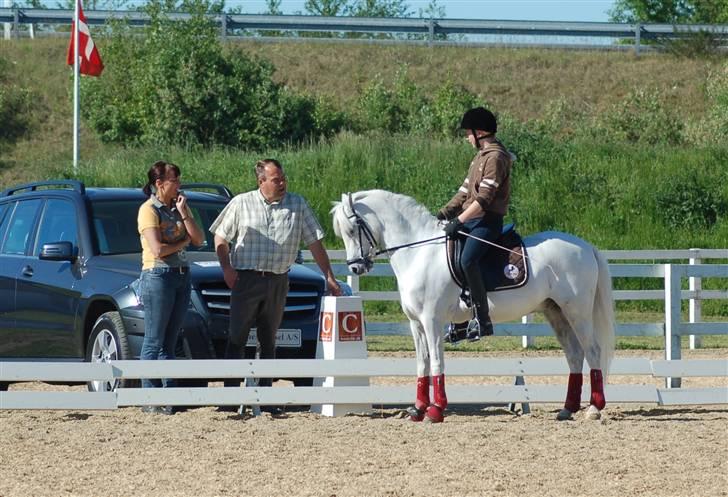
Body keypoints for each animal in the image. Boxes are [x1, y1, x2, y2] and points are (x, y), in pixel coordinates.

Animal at [332, 190, 616, 422]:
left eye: (352, 228)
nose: (356, 268)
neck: (418, 253)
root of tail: (586, 246)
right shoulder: (416, 324)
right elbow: (422, 364)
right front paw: (418, 409)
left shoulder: (432, 320)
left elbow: (437, 362)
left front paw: (436, 411)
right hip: (555, 312)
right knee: (574, 354)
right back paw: (567, 409)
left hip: (577, 311)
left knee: (592, 351)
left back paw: (594, 409)